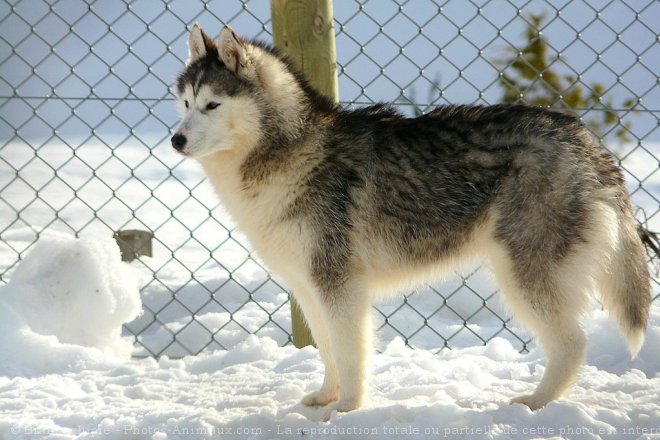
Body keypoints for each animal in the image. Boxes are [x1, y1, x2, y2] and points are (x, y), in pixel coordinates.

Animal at [170, 22, 648, 414]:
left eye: (212, 105)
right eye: (186, 102)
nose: (175, 140)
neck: (287, 151)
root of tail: (581, 134)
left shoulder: (340, 286)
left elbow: (350, 354)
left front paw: (346, 410)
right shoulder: (308, 287)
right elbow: (328, 352)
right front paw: (325, 399)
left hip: (523, 274)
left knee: (573, 343)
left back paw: (536, 404)